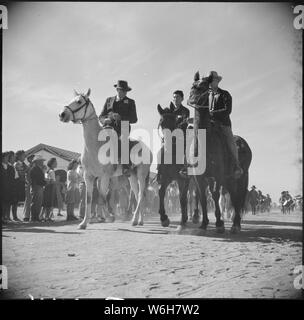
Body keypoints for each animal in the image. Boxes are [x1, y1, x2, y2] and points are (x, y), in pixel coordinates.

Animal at [60, 89, 152, 229]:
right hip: (132, 176)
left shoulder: (104, 177)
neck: (96, 145)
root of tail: (147, 149)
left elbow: (102, 198)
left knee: (141, 195)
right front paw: (84, 223)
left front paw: (109, 217)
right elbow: (89, 199)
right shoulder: (89, 176)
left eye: (79, 101)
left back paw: (134, 219)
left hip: (141, 174)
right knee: (136, 196)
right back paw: (139, 220)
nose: (62, 114)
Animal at [188, 71, 252, 234]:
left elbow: (215, 195)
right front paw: (204, 223)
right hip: (229, 180)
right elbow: (203, 197)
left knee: (238, 197)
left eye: (204, 86)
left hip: (241, 178)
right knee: (234, 196)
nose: (192, 99)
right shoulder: (199, 178)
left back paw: (236, 225)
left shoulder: (218, 175)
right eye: (193, 85)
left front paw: (219, 224)